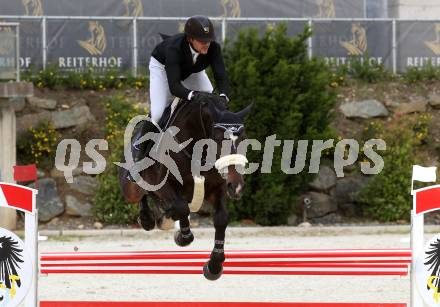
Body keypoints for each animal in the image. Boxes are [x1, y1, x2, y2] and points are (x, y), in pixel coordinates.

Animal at [117, 94, 251, 282]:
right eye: (218, 139)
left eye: (243, 139)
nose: (236, 186)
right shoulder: (165, 185)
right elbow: (182, 208)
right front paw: (182, 236)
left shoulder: (217, 188)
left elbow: (221, 218)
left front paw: (214, 266)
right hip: (130, 189)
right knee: (142, 194)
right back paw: (147, 218)